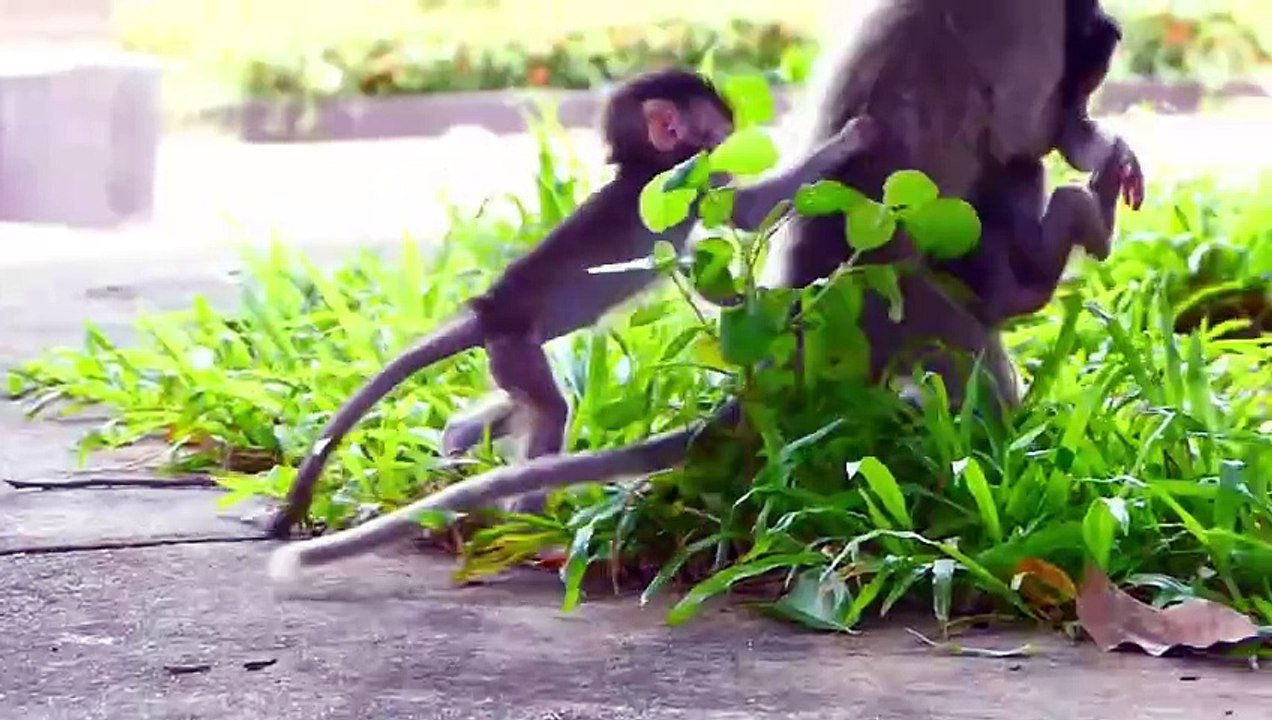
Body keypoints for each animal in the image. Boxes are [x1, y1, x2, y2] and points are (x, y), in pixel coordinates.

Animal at [263, 67, 882, 540]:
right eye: (719, 122)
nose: (734, 131)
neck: (643, 166)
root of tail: (489, 310)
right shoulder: (688, 182)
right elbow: (749, 212)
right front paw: (848, 140)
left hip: (509, 356)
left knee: (516, 411)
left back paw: (457, 448)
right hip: (516, 350)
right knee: (549, 411)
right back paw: (529, 519)